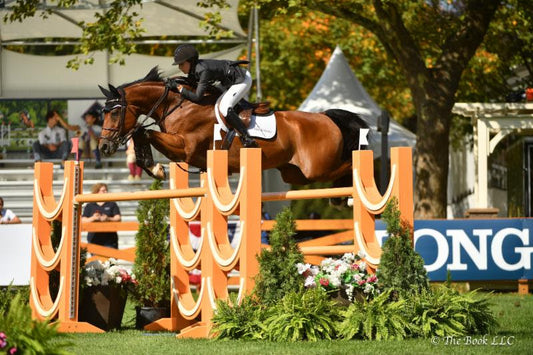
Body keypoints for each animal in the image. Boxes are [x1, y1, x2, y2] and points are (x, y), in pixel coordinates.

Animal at [97, 67, 368, 189]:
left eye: (115, 112)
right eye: (103, 112)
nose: (104, 147)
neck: (177, 105)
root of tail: (326, 117)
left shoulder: (185, 147)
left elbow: (144, 132)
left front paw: (156, 169)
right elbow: (142, 133)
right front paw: (154, 168)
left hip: (317, 169)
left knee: (348, 165)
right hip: (294, 173)